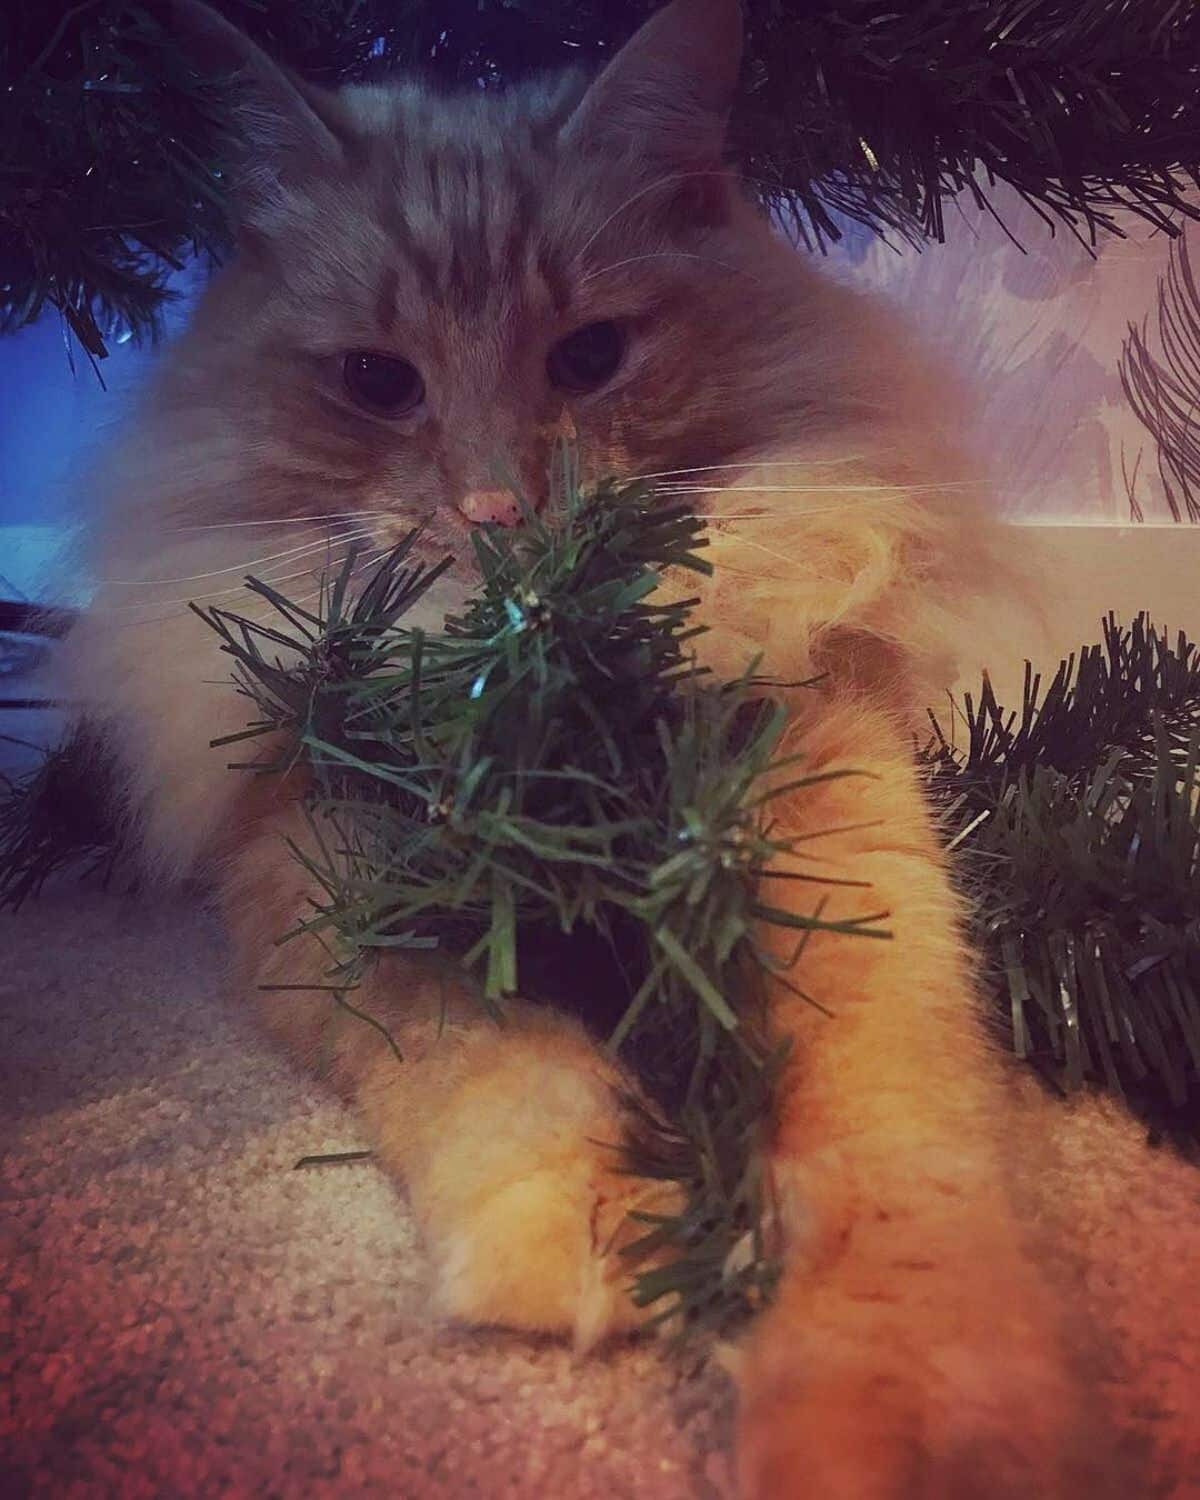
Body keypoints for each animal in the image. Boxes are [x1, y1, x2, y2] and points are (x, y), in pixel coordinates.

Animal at [60, 0, 1104, 1494]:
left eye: (591, 358)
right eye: (377, 383)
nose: (500, 514)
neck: (538, 702)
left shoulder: (821, 786)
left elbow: (891, 1119)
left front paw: (908, 1414)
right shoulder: (319, 857)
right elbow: (481, 1060)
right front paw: (589, 1226)